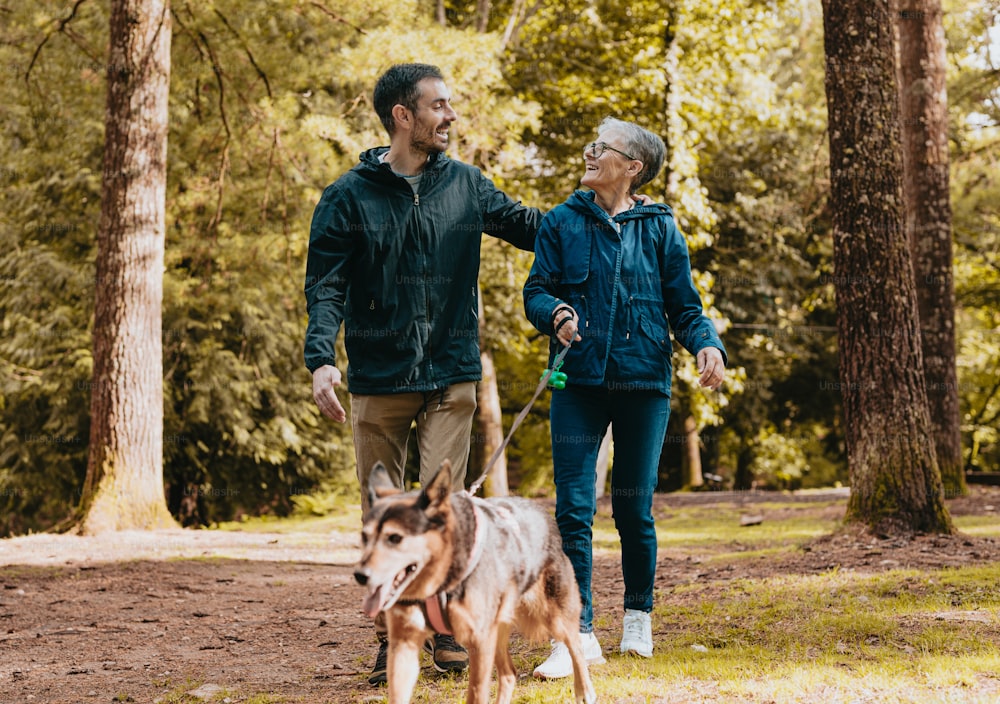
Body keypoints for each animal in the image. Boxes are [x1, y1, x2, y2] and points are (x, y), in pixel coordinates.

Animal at [356, 462, 596, 704]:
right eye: (364, 537)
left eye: (395, 538)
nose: (360, 575)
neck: (438, 580)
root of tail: (541, 513)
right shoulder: (403, 647)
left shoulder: (479, 642)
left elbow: (476, 693)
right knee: (509, 673)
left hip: (553, 617)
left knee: (576, 647)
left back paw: (585, 691)